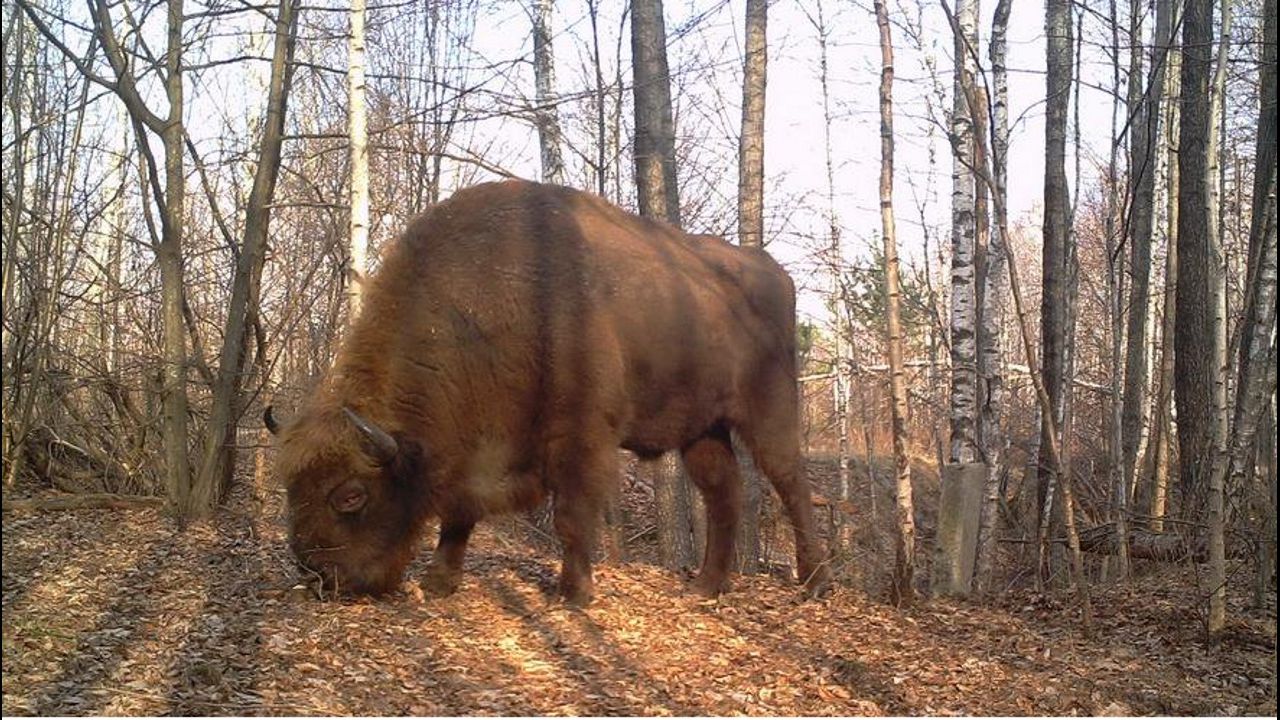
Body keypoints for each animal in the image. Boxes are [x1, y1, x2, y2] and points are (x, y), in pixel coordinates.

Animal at [266, 178, 834, 599]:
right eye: (290, 485)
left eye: (351, 495)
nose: (319, 577)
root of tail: (774, 271)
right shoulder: (477, 446)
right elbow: (459, 512)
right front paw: (439, 581)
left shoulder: (580, 436)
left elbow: (571, 515)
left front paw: (574, 593)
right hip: (702, 428)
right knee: (723, 494)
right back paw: (705, 588)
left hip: (770, 411)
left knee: (791, 484)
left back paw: (814, 584)